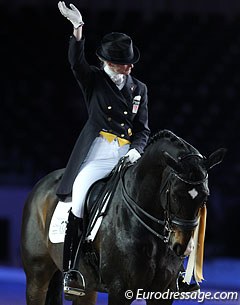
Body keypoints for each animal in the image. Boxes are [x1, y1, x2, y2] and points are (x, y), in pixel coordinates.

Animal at [20, 130, 225, 304]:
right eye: (175, 195)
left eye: (205, 197)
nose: (183, 247)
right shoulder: (120, 290)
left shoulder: (162, 293)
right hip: (37, 276)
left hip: (86, 288)